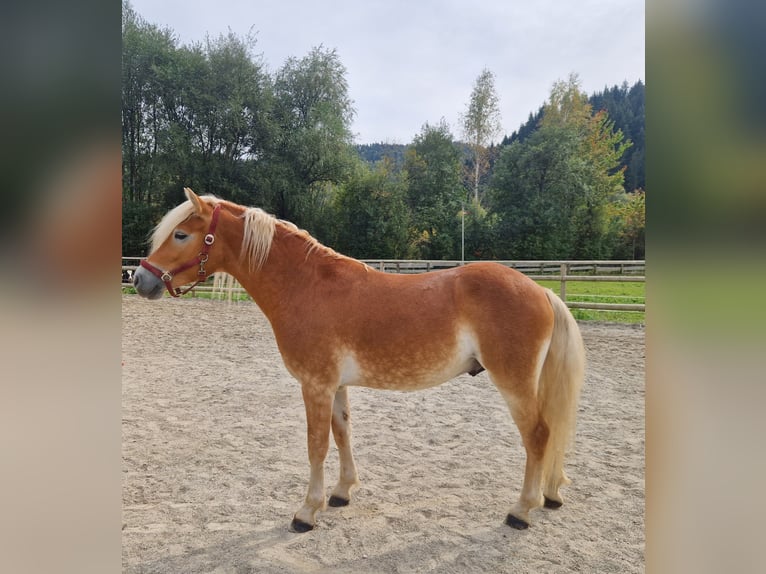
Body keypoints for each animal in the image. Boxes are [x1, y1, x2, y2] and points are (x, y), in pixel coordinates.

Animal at [133, 187, 586, 532]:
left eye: (181, 234)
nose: (140, 279)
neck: (307, 286)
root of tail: (541, 290)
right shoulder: (335, 386)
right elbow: (342, 433)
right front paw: (340, 493)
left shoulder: (314, 385)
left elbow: (316, 445)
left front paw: (306, 512)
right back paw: (549, 495)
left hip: (514, 384)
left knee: (538, 436)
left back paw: (521, 510)